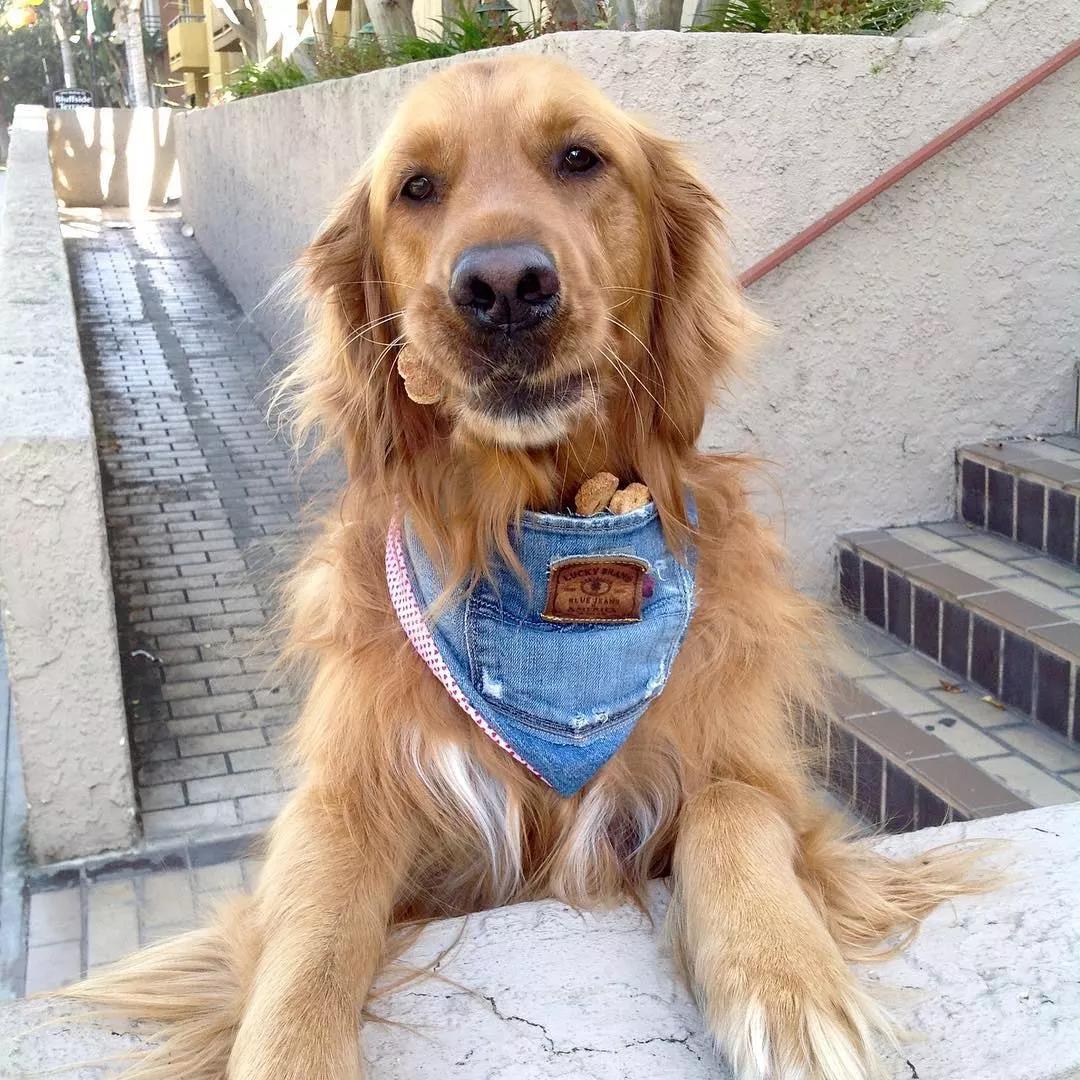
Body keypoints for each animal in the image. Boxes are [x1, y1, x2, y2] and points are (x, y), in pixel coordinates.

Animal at [64, 56, 983, 1079]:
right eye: (416, 187)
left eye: (580, 158)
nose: (504, 285)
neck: (538, 523)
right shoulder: (352, 800)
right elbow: (309, 934)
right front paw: (289, 1052)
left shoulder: (755, 776)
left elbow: (733, 808)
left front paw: (789, 989)